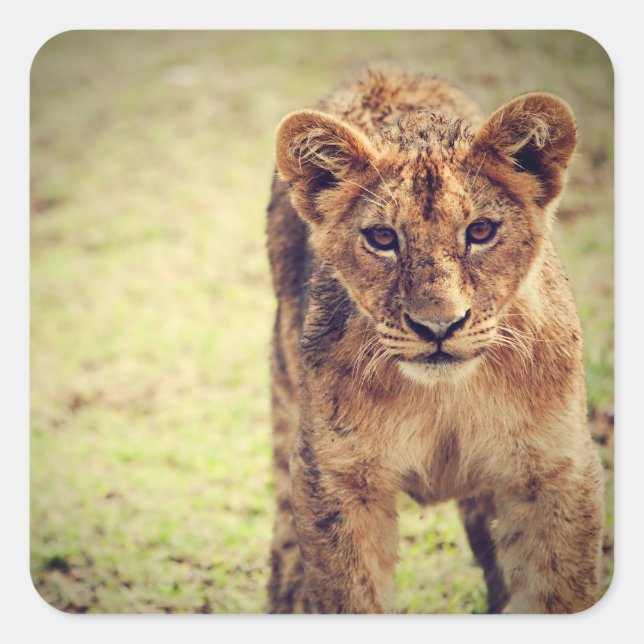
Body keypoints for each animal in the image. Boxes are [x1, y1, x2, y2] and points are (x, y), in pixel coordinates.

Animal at [265, 64, 603, 614]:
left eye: (481, 231)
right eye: (382, 238)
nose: (438, 326)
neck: (445, 397)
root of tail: (387, 70)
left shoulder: (557, 472)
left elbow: (555, 591)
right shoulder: (337, 478)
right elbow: (351, 594)